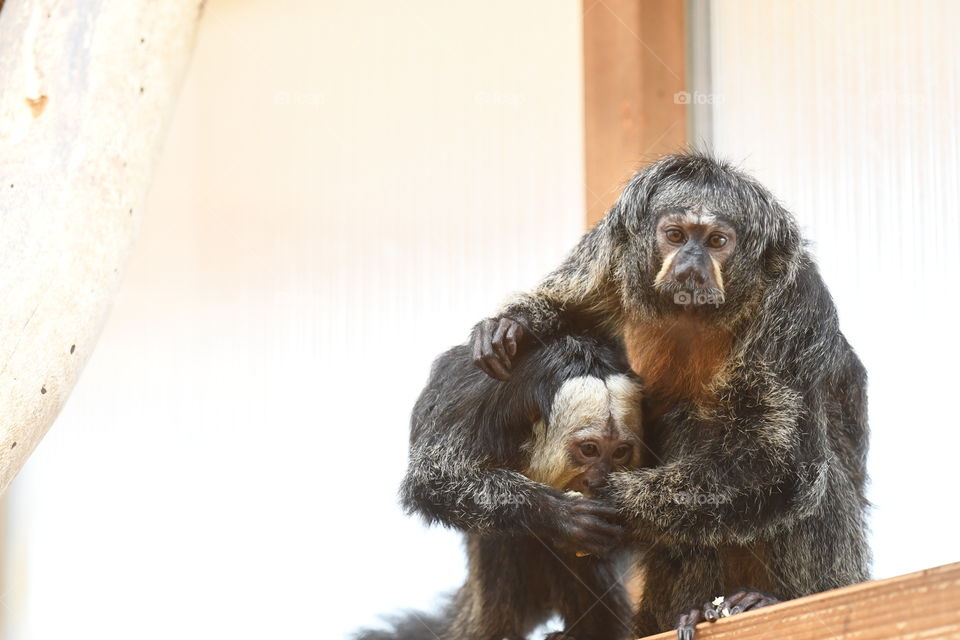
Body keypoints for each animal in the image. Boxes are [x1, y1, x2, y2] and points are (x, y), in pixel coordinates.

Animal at [355, 332, 645, 640]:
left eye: (620, 453)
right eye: (589, 449)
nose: (597, 479)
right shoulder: (483, 397)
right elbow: (435, 478)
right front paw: (561, 516)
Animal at [469, 152, 871, 639]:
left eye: (716, 241)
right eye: (676, 236)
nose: (692, 263)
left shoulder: (794, 303)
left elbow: (779, 462)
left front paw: (616, 501)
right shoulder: (611, 254)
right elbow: (575, 309)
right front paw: (515, 325)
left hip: (845, 575)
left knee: (812, 471)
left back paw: (773, 600)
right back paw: (692, 609)